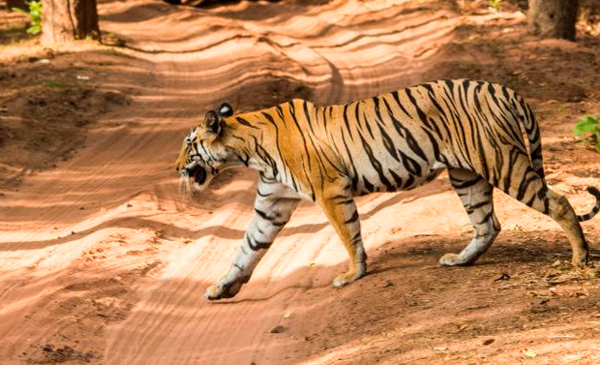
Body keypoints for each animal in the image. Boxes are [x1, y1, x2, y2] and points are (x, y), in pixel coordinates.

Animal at [175, 79, 600, 298]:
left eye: (187, 144)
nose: (176, 168)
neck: (248, 150)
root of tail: (505, 89)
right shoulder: (272, 202)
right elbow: (247, 248)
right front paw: (222, 287)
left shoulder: (331, 191)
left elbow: (348, 235)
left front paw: (352, 275)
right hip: (466, 175)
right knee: (487, 223)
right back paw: (459, 261)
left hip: (501, 162)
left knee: (559, 202)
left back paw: (580, 259)